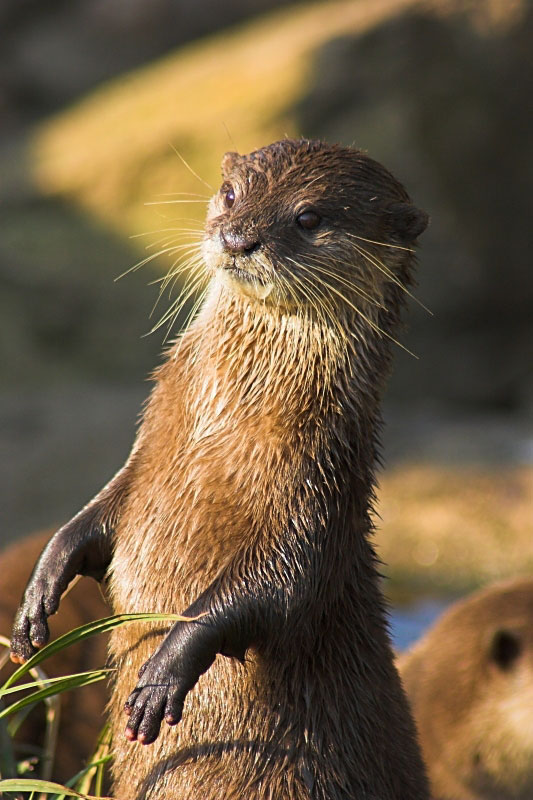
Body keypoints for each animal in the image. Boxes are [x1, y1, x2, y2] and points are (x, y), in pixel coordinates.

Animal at [11, 139, 428, 800]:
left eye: (309, 217)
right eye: (231, 194)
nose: (237, 238)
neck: (216, 432)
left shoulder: (316, 494)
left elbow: (278, 587)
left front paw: (163, 672)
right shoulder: (147, 456)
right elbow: (96, 516)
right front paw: (39, 593)